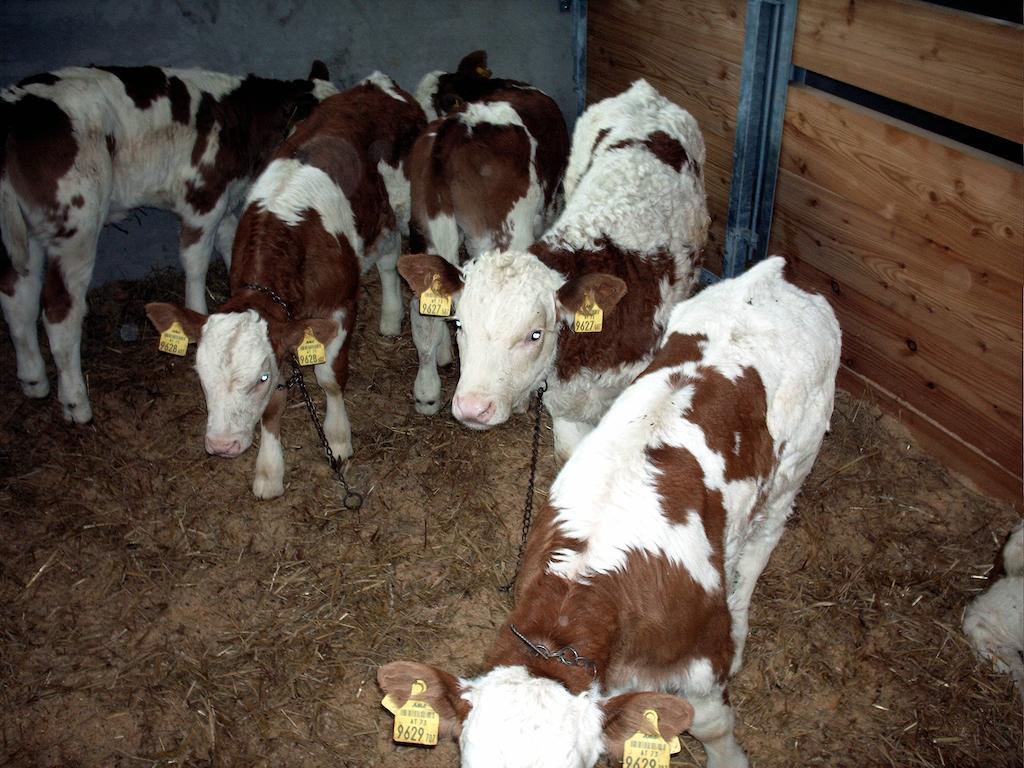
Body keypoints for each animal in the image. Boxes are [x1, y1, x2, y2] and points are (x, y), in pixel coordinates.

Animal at [0, 64, 335, 428]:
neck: (238, 119)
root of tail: (14, 109)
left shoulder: (221, 201)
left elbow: (229, 241)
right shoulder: (203, 197)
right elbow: (195, 261)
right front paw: (197, 315)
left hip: (26, 231)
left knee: (18, 296)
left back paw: (33, 379)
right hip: (77, 224)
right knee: (59, 310)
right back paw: (76, 402)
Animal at [144, 73, 423, 499]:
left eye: (258, 377)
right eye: (200, 374)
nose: (222, 445)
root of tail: (376, 85)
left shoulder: (340, 306)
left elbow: (329, 378)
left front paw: (338, 439)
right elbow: (274, 406)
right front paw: (269, 471)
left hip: (404, 207)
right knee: (389, 259)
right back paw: (391, 318)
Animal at [380, 259, 843, 768]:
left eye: (578, 765)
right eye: (468, 760)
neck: (586, 580)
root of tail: (773, 274)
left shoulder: (699, 663)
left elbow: (710, 724)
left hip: (795, 464)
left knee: (761, 546)